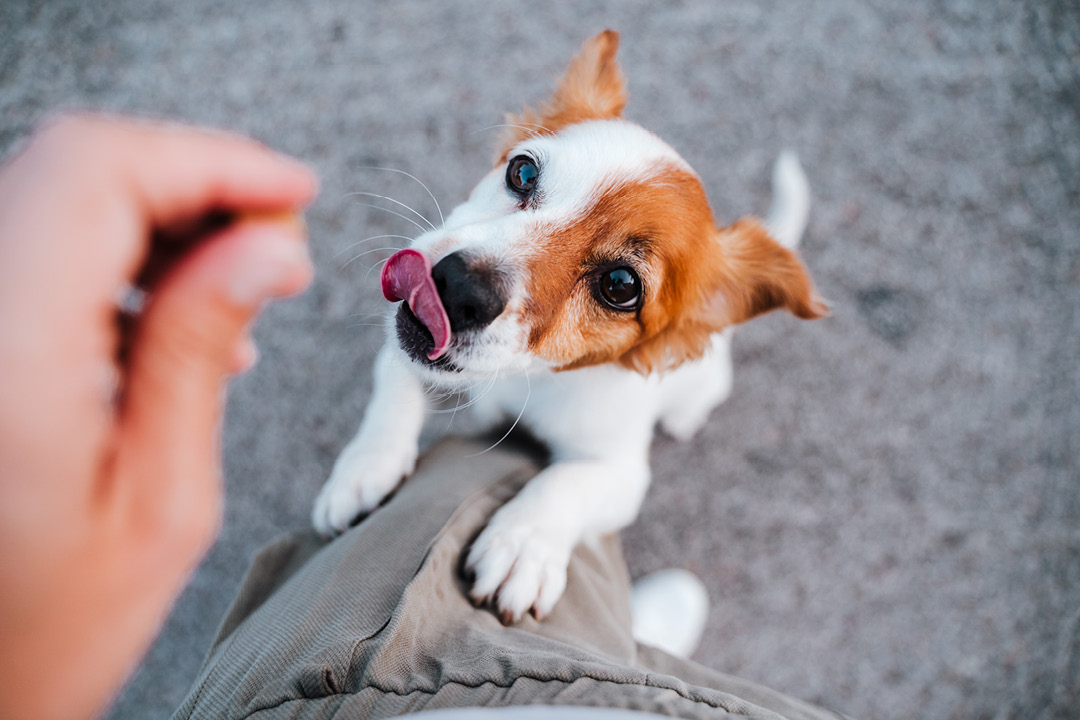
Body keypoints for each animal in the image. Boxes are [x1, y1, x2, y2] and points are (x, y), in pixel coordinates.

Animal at [313, 29, 825, 626]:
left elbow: (567, 481)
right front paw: (363, 469)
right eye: (522, 172)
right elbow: (393, 388)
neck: (526, 379)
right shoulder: (405, 351)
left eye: (620, 286)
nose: (458, 288)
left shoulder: (622, 472)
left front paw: (522, 543)